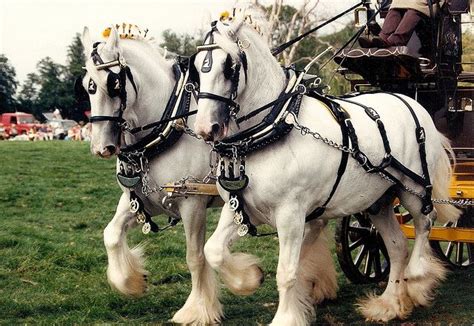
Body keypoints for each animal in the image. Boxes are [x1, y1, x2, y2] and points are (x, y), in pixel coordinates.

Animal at [80, 25, 223, 324]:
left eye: (114, 84)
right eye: (87, 84)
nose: (101, 147)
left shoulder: (192, 203)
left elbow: (195, 257)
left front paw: (197, 309)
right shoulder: (141, 200)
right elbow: (111, 234)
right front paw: (131, 282)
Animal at [191, 10, 462, 326]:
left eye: (229, 67)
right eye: (196, 69)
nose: (205, 128)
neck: (270, 129)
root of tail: (411, 102)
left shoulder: (291, 214)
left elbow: (287, 272)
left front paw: (286, 317)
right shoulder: (237, 206)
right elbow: (213, 251)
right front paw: (249, 278)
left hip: (413, 189)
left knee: (425, 223)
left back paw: (418, 278)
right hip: (378, 200)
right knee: (396, 246)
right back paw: (389, 304)